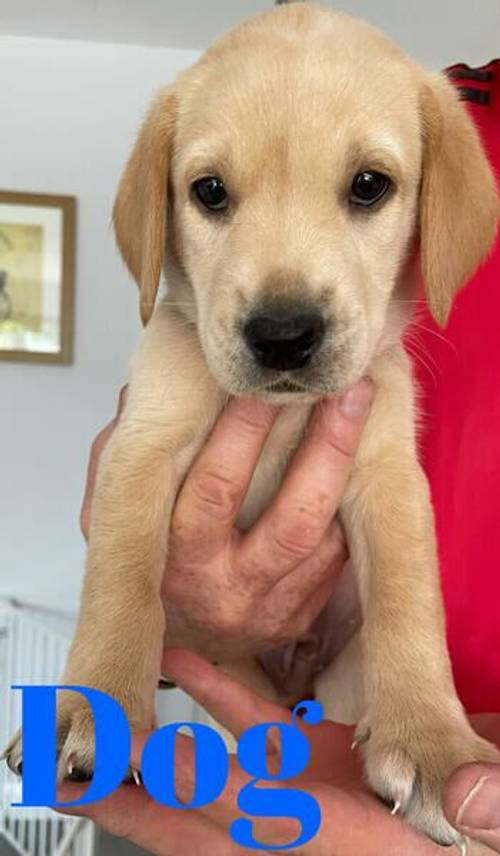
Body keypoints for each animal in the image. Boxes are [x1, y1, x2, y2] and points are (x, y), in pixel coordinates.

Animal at [5, 1, 498, 848]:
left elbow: (411, 605)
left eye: (370, 185)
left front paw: (433, 741)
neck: (283, 415)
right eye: (209, 192)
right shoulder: (142, 445)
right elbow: (120, 581)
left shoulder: (390, 477)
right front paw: (99, 699)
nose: (283, 334)